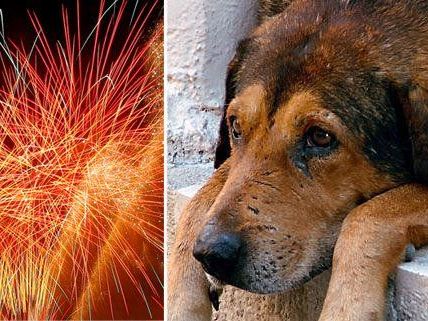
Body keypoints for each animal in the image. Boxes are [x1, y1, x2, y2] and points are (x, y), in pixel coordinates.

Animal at [169, 1, 428, 318]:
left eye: (320, 136)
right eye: (235, 126)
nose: (211, 254)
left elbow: (366, 217)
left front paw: (347, 308)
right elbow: (201, 196)